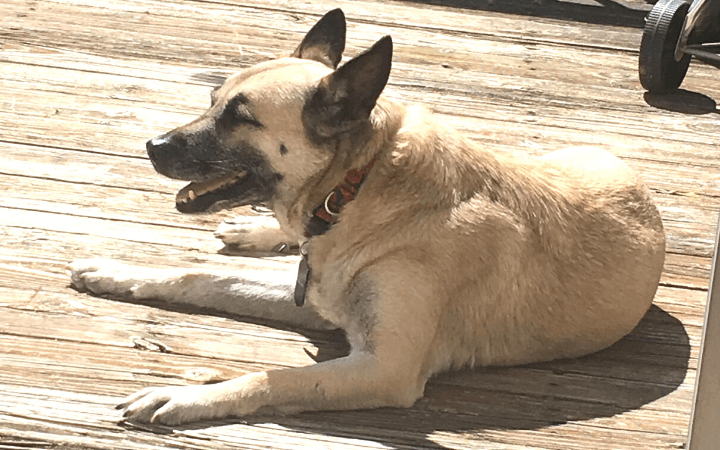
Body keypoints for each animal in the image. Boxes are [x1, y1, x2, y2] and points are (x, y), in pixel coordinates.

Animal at [67, 9, 664, 426]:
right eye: (212, 99)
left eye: (241, 117)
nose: (152, 146)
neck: (353, 186)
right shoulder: (317, 294)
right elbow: (200, 275)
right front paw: (117, 272)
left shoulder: (383, 368)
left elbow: (275, 378)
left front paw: (188, 394)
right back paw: (255, 228)